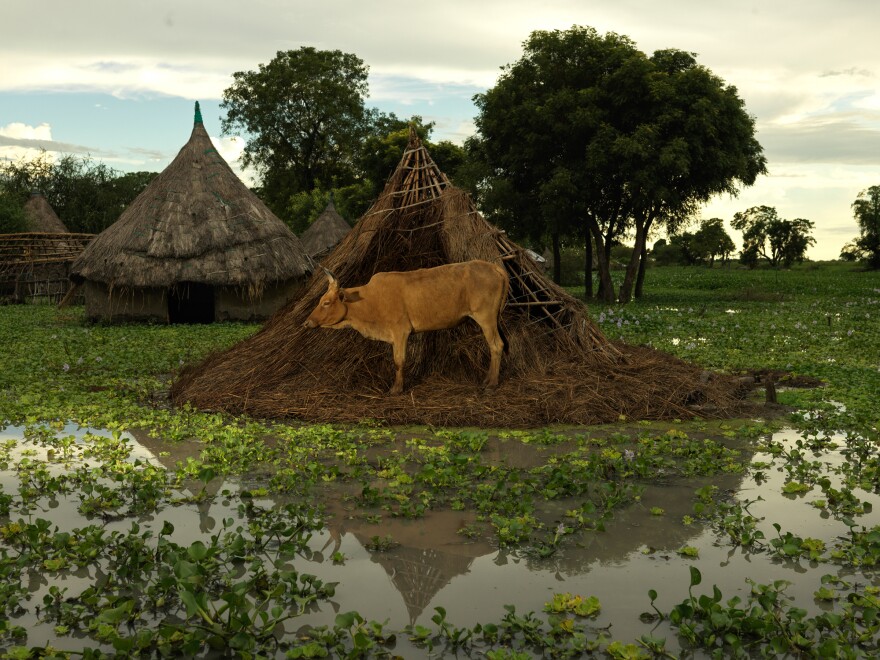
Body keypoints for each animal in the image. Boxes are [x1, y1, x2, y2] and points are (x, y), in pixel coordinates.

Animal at [302, 260, 508, 394]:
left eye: (326, 302)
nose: (307, 322)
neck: (370, 300)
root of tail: (492, 266)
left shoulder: (400, 331)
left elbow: (399, 361)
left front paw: (396, 389)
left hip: (486, 317)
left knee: (496, 345)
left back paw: (492, 384)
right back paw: (486, 380)